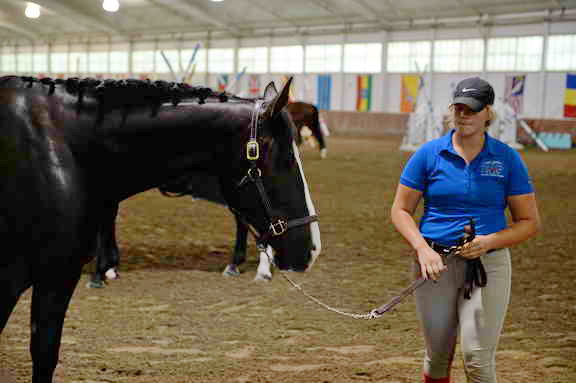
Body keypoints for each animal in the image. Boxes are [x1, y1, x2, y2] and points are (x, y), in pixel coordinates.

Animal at [0, 76, 320, 383]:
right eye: (286, 160)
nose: (312, 249)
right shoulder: (45, 279)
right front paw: (106, 270)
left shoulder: (53, 278)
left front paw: (105, 271)